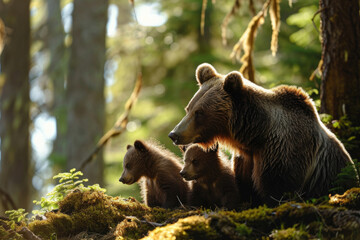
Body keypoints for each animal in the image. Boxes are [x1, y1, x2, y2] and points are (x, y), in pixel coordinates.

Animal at [169, 62, 354, 203]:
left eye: (199, 113)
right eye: (188, 109)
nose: (174, 134)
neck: (256, 136)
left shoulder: (283, 152)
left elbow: (278, 188)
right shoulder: (245, 159)